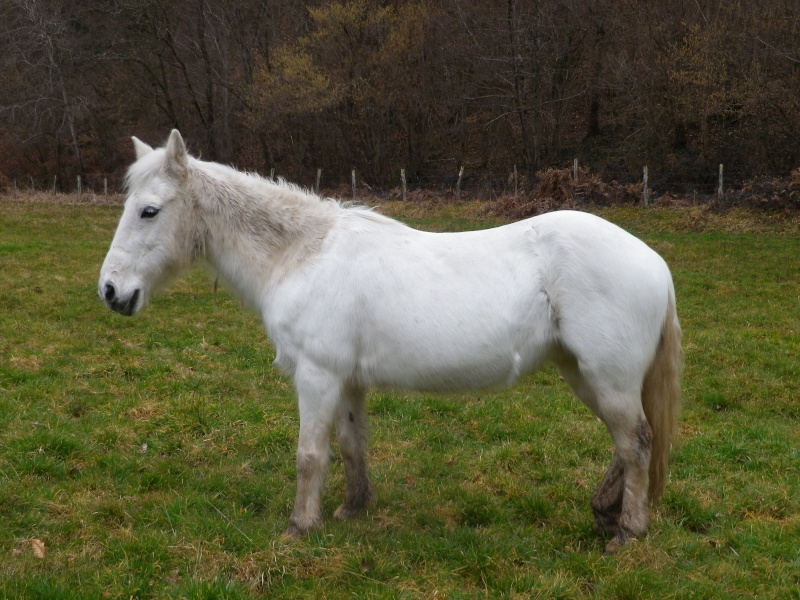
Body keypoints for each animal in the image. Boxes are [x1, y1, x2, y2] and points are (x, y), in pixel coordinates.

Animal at [100, 131, 680, 552]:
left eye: (149, 210)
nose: (111, 291)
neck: (302, 254)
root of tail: (655, 262)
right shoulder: (348, 381)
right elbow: (352, 445)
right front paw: (353, 509)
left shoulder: (317, 376)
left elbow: (310, 454)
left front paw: (300, 527)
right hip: (582, 372)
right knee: (627, 443)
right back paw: (605, 513)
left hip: (606, 376)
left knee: (636, 442)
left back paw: (627, 532)